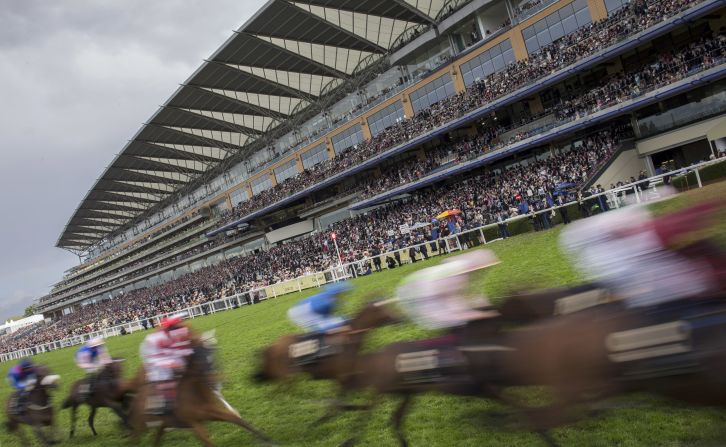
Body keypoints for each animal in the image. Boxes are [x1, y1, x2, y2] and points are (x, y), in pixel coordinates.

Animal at [128, 330, 272, 446]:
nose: (215, 381)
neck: (194, 393)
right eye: (201, 357)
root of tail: (137, 394)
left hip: (163, 423)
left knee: (158, 435)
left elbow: (236, 419)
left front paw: (266, 438)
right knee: (136, 438)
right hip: (140, 424)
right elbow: (208, 442)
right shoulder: (194, 423)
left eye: (215, 355)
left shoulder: (210, 412)